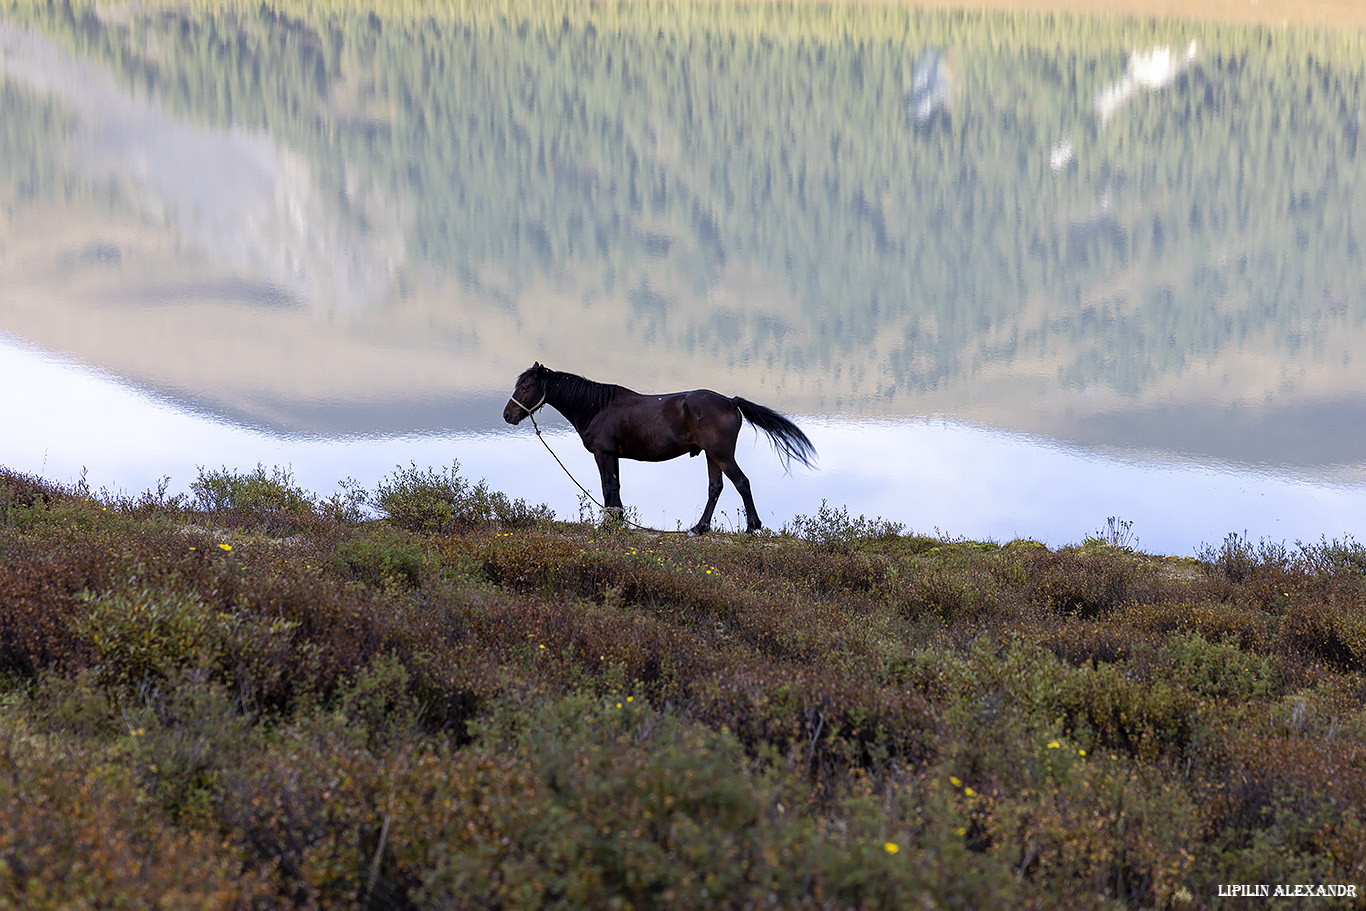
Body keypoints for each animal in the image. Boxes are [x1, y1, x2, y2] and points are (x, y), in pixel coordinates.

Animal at [508, 363, 814, 535]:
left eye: (525, 387)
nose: (507, 415)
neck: (597, 407)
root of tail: (730, 401)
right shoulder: (613, 456)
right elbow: (615, 488)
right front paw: (617, 521)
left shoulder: (603, 454)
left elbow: (608, 487)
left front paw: (609, 525)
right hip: (712, 456)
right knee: (715, 488)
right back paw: (699, 528)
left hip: (722, 454)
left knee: (742, 482)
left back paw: (752, 526)